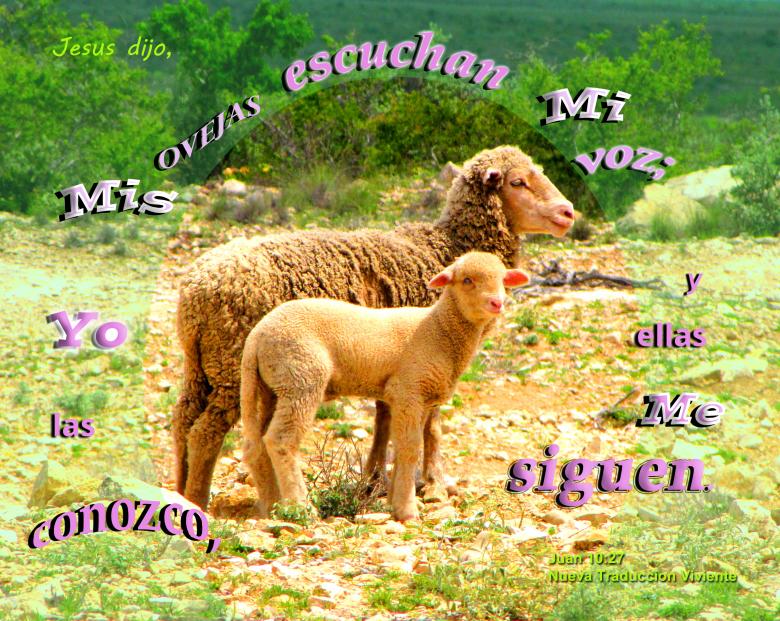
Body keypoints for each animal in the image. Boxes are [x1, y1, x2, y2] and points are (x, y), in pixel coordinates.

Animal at [241, 252, 529, 522]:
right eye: (467, 280)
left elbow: (402, 448)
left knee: (256, 445)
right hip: (302, 378)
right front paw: (407, 509)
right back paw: (300, 507)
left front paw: (394, 502)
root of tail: (257, 335)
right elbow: (410, 448)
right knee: (281, 440)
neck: (438, 330)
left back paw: (271, 504)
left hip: (272, 387)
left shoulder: (418, 396)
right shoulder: (408, 390)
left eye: (503, 279)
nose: (497, 302)